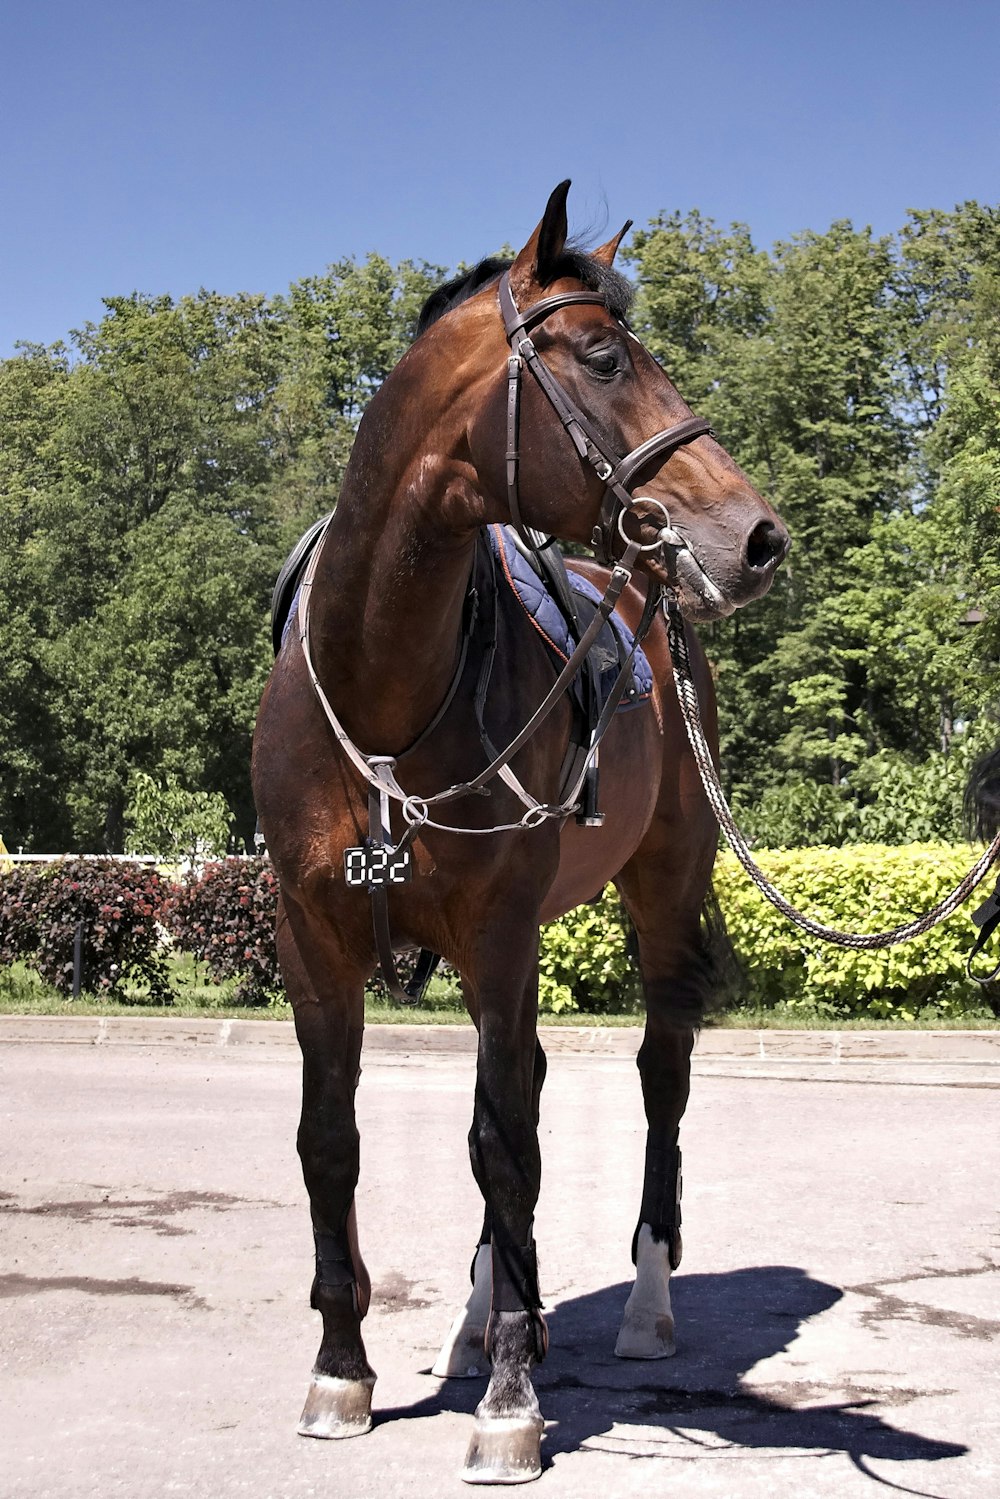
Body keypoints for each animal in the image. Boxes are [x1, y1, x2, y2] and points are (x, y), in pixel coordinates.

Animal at [250, 181, 791, 1481]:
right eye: (601, 356)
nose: (755, 537)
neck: (384, 684)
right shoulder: (313, 936)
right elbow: (333, 1139)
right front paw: (344, 1368)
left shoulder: (497, 930)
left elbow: (504, 1143)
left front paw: (508, 1401)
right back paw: (488, 1312)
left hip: (656, 897)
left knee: (656, 1080)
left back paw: (639, 1306)